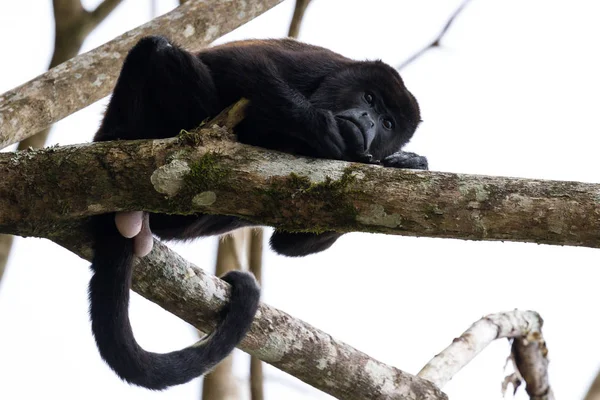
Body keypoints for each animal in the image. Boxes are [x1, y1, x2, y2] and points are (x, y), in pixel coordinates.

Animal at [89, 35, 426, 390]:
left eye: (388, 123)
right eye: (369, 98)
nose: (369, 119)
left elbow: (290, 241)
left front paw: (409, 162)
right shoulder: (319, 65)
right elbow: (245, 63)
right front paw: (320, 127)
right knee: (157, 50)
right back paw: (117, 136)